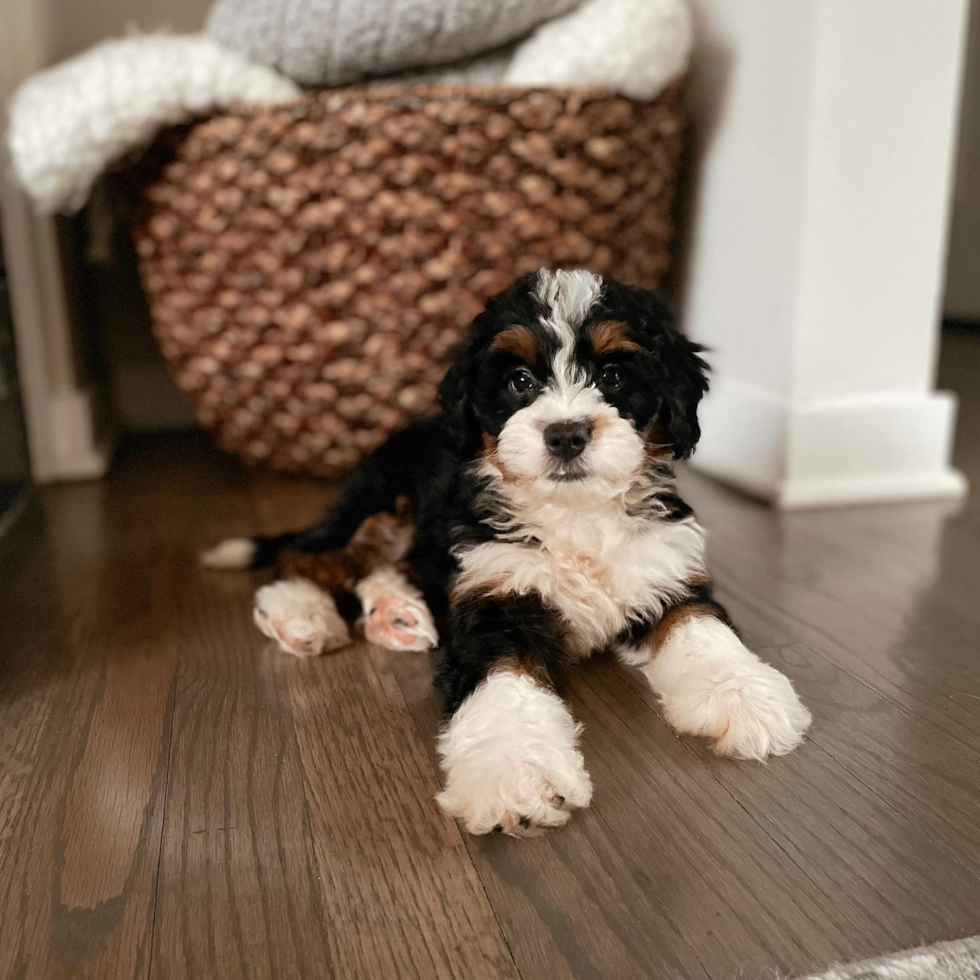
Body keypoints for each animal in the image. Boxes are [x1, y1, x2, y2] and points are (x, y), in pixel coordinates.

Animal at [201, 272, 812, 840]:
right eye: (520, 381)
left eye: (613, 376)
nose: (566, 434)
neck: (574, 513)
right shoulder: (493, 592)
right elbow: (504, 684)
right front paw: (515, 773)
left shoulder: (666, 568)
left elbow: (699, 626)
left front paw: (744, 696)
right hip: (383, 499)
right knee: (309, 557)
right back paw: (302, 614)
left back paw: (397, 612)